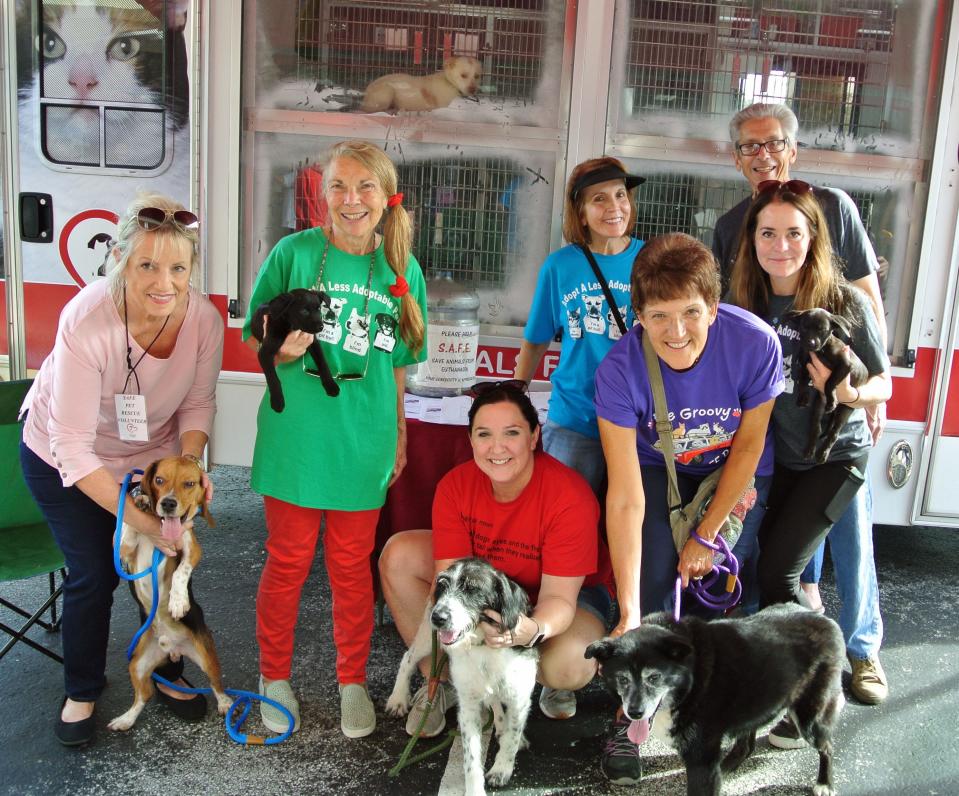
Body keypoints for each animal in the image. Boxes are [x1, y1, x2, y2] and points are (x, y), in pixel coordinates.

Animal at [108, 458, 232, 732]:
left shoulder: (191, 548)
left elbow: (180, 572)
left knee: (216, 683)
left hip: (206, 656)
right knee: (143, 695)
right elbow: (128, 530)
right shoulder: (123, 553)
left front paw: (178, 602)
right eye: (159, 480)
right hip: (137, 664)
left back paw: (226, 704)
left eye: (189, 483)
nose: (168, 503)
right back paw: (126, 719)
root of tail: (172, 648)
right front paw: (141, 501)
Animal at [588, 608, 844, 792]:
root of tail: (827, 620)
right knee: (746, 745)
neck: (690, 678)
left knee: (828, 747)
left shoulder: (702, 757)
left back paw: (825, 784)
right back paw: (726, 767)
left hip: (809, 717)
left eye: (654, 677)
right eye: (622, 679)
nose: (635, 713)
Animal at [788, 308, 872, 464]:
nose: (811, 343)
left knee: (834, 433)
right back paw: (810, 450)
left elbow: (829, 382)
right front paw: (803, 398)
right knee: (817, 428)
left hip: (845, 409)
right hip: (818, 405)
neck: (821, 351)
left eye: (822, 330)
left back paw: (823, 453)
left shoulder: (845, 366)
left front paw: (832, 400)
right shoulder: (806, 365)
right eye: (804, 327)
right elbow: (802, 381)